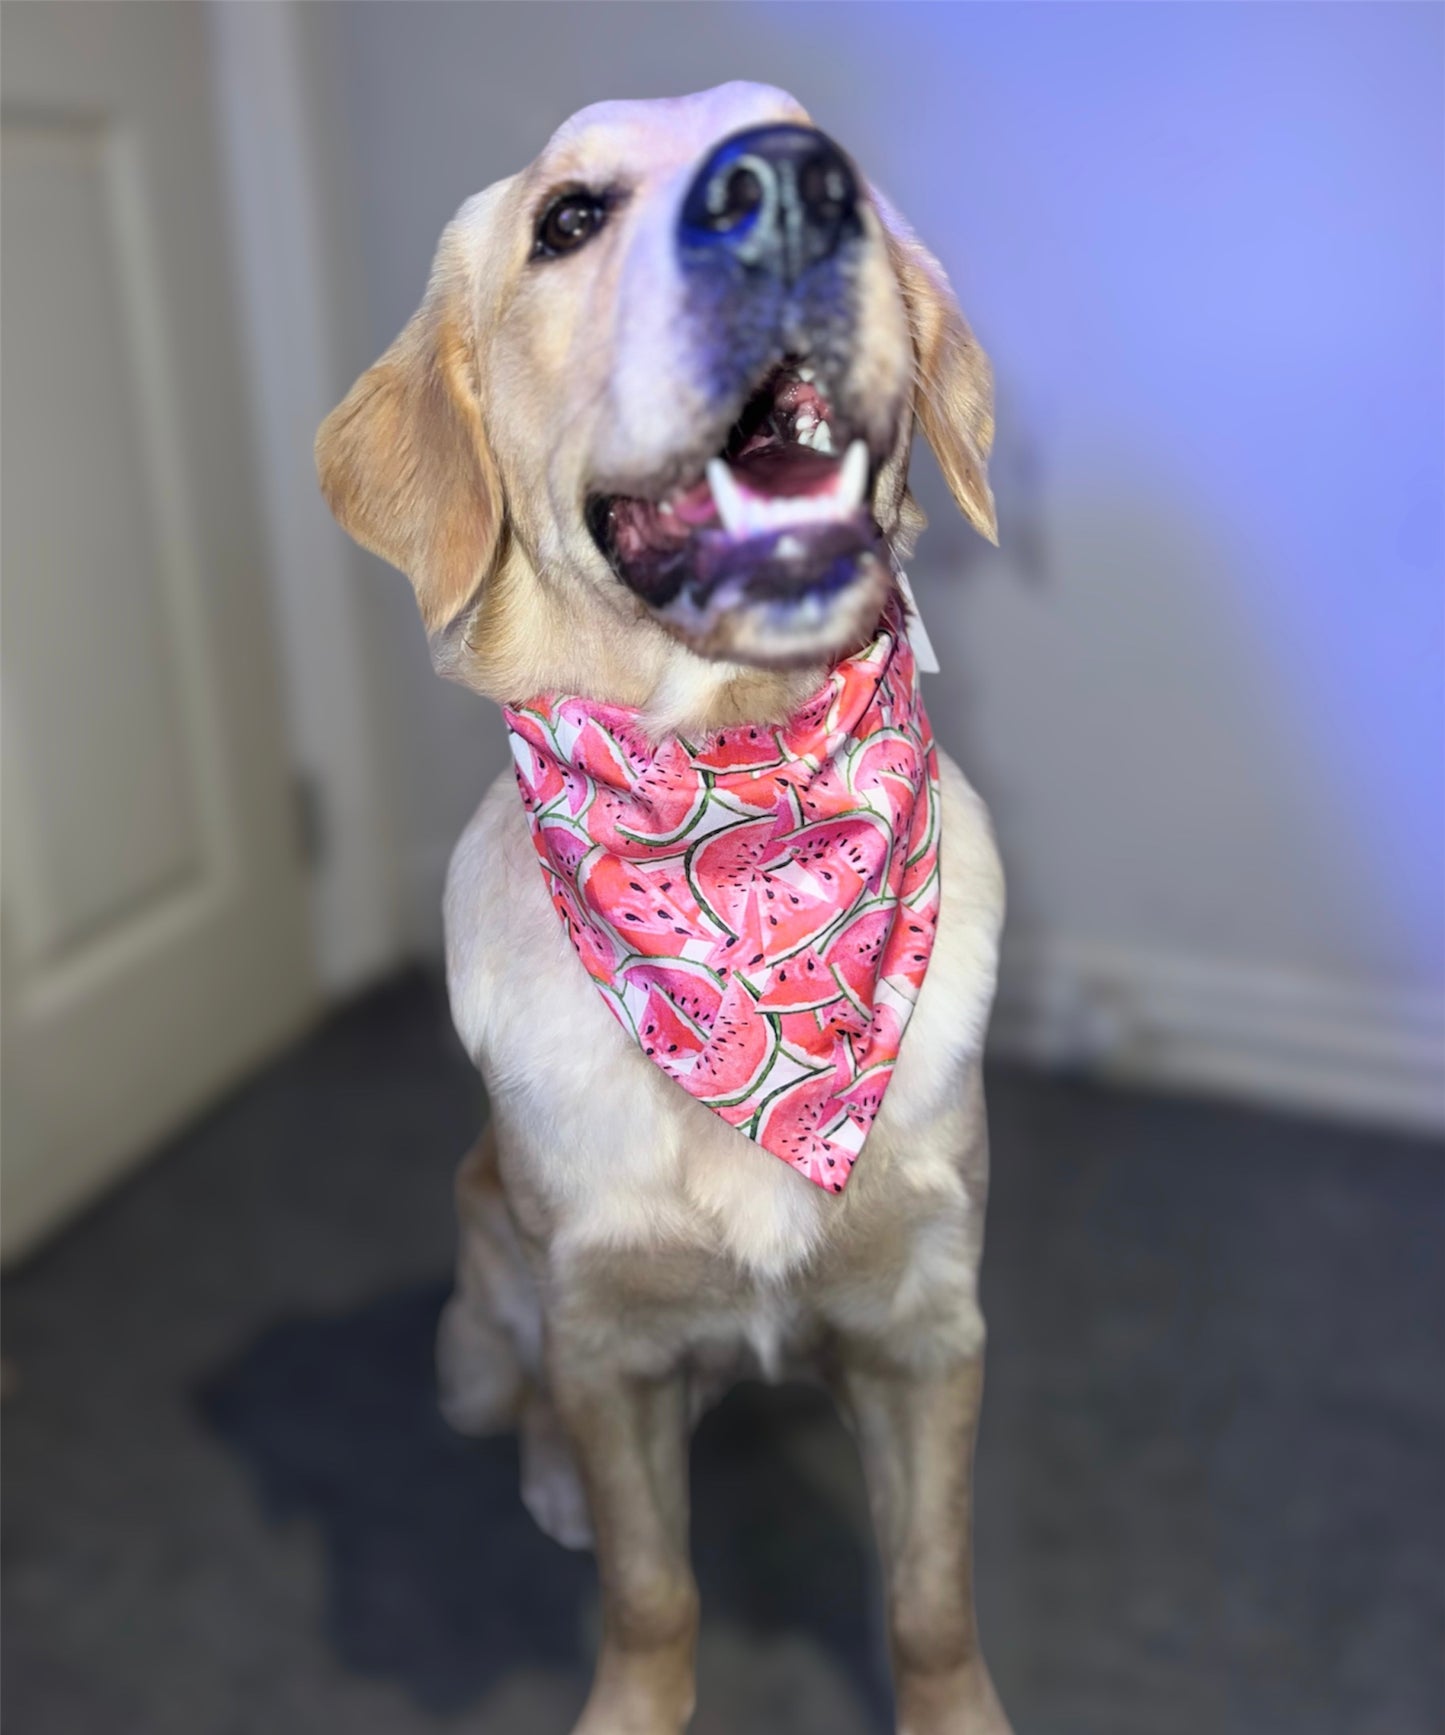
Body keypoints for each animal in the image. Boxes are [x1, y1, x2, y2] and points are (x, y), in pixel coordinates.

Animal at [320, 78, 1006, 1735]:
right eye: (568, 216)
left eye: (841, 171)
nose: (790, 189)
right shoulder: (605, 1337)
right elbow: (652, 1590)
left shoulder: (929, 1324)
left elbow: (929, 1599)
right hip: (487, 1310)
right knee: (519, 1406)